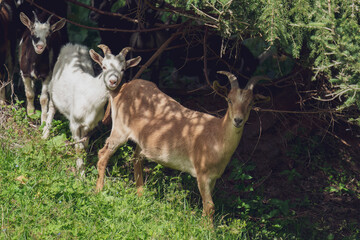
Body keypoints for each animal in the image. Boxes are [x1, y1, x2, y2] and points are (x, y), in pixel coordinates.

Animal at [43, 43, 141, 172]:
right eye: (104, 67)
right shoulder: (75, 123)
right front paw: (80, 173)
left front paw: (83, 167)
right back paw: (44, 135)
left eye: (123, 69)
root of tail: (73, 45)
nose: (112, 81)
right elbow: (78, 147)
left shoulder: (89, 125)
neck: (91, 97)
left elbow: (84, 146)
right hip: (53, 89)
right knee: (51, 109)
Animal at [95, 70, 268, 220]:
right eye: (229, 100)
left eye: (251, 103)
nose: (238, 120)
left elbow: (206, 207)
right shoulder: (202, 173)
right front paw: (209, 232)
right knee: (103, 154)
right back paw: (99, 191)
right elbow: (210, 207)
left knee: (136, 159)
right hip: (120, 129)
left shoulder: (213, 178)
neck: (216, 136)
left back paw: (141, 195)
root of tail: (122, 88)